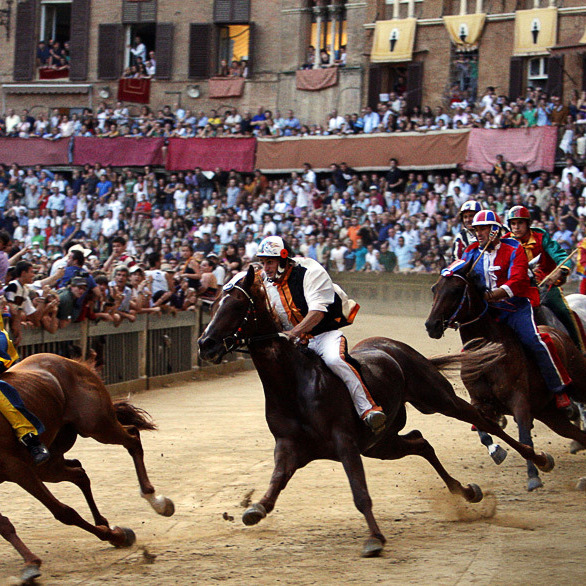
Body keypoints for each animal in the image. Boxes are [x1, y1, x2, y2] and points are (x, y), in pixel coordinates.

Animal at [0, 350, 173, 580]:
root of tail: (74, 362)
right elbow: (4, 524)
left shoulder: (16, 467)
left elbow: (64, 512)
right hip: (48, 463)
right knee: (79, 471)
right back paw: (106, 522)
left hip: (97, 424)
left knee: (132, 437)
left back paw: (155, 500)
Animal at [197, 266, 552, 556]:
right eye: (212, 306)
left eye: (237, 306)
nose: (206, 344)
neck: (294, 385)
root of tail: (395, 347)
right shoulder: (290, 446)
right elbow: (275, 484)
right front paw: (254, 508)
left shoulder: (344, 441)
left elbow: (360, 493)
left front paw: (374, 538)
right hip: (381, 443)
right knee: (420, 441)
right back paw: (467, 491)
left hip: (438, 398)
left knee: (484, 422)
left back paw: (538, 461)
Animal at [422, 260, 584, 488]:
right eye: (434, 288)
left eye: (455, 290)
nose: (432, 325)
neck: (488, 355)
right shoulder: (480, 402)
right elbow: (484, 432)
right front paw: (497, 451)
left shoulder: (519, 401)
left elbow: (524, 436)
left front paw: (533, 474)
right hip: (549, 413)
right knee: (575, 431)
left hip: (578, 384)